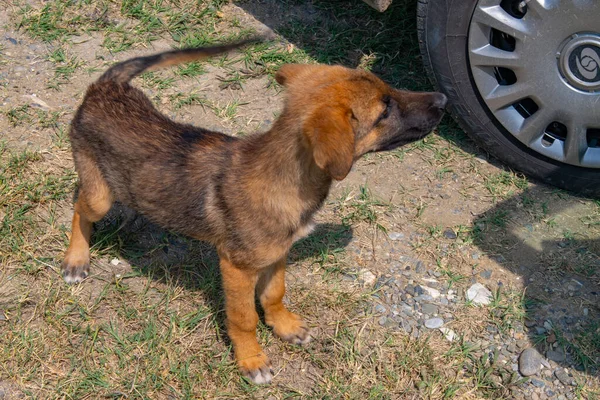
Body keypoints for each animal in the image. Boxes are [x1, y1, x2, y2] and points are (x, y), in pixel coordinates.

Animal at [63, 40, 446, 384]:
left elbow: (274, 294)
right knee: (80, 208)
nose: (443, 99)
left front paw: (284, 326)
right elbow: (244, 318)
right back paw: (76, 258)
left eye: (390, 89)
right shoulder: (236, 267)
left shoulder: (276, 254)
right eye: (385, 110)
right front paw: (251, 359)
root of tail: (105, 87)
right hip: (99, 195)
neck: (286, 178)